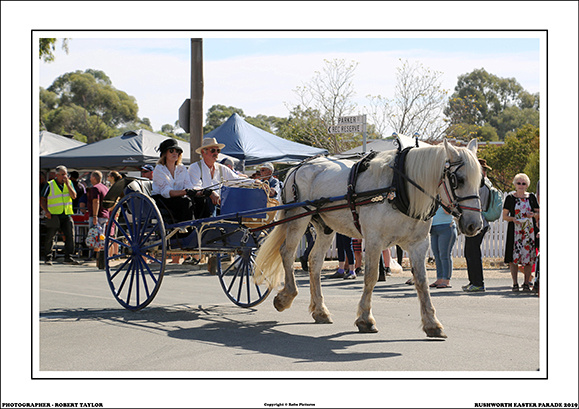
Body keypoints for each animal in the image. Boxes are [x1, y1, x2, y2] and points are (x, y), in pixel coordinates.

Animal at [256, 139, 482, 336]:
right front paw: (365, 319)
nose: (475, 225)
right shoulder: (374, 240)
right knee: (287, 253)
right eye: (458, 180)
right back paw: (286, 297)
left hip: (325, 227)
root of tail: (298, 167)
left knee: (315, 261)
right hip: (298, 218)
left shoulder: (418, 244)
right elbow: (371, 277)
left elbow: (422, 281)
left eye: (480, 181)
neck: (398, 188)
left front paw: (432, 323)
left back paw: (320, 310)